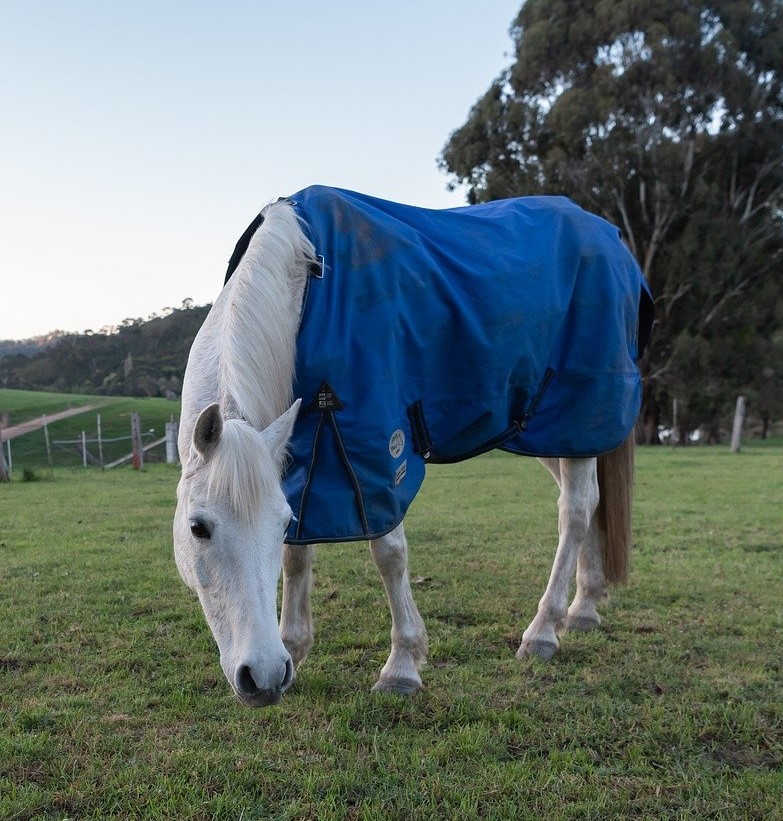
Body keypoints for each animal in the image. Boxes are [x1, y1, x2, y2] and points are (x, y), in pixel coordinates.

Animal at [173, 186, 653, 707]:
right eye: (198, 528)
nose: (261, 676)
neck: (306, 278)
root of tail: (610, 237)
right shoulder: (308, 457)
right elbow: (298, 555)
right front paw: (295, 649)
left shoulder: (374, 454)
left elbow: (389, 553)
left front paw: (401, 665)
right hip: (551, 431)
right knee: (589, 502)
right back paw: (584, 606)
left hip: (582, 416)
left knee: (577, 510)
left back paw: (544, 631)